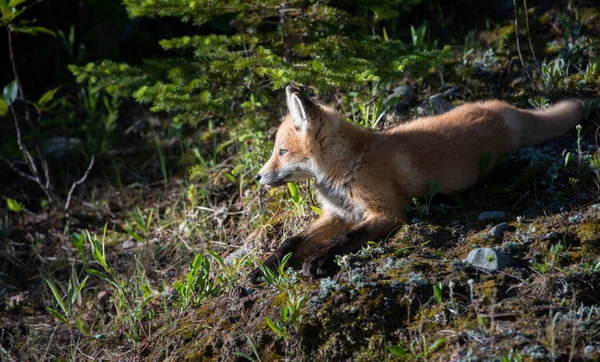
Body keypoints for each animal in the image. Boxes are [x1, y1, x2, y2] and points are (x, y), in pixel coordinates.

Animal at [248, 86, 592, 282]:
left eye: (282, 152)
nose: (258, 178)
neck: (349, 164)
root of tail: (505, 109)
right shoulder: (338, 214)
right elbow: (291, 242)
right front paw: (263, 268)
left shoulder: (388, 213)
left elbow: (347, 239)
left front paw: (319, 261)